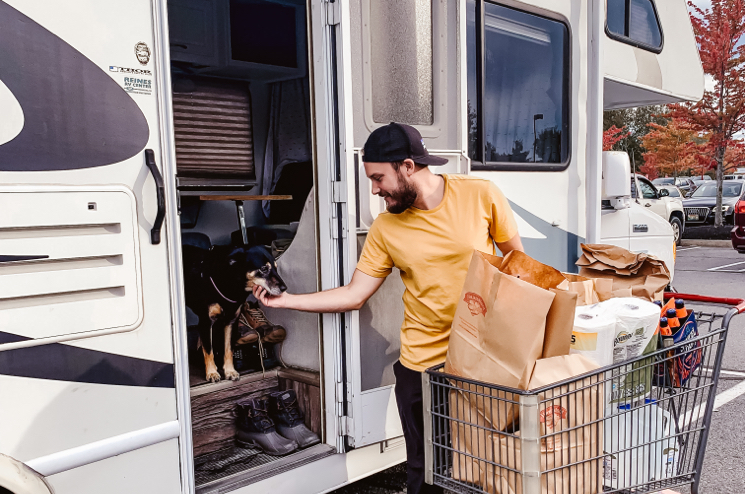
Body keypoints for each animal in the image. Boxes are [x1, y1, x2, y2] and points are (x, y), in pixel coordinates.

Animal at [182, 245, 286, 384]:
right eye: (264, 268)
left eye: (276, 268)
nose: (284, 288)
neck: (230, 282)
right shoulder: (206, 322)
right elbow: (209, 350)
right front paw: (212, 373)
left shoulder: (231, 322)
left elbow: (228, 349)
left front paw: (230, 371)